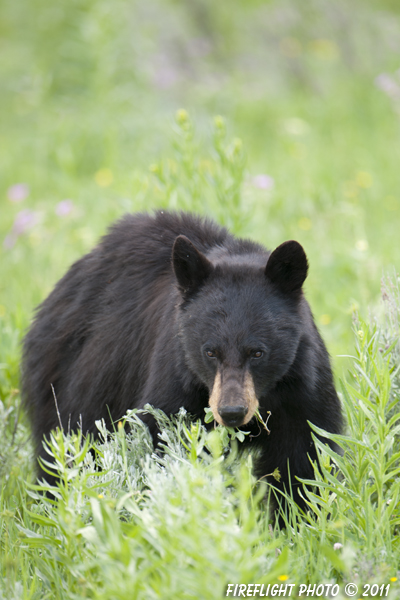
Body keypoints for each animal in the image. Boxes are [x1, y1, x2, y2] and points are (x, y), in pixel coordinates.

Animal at [21, 210, 342, 510]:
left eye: (258, 352)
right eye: (210, 352)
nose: (232, 412)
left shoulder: (301, 387)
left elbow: (306, 461)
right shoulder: (176, 377)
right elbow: (162, 442)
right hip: (75, 380)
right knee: (68, 446)